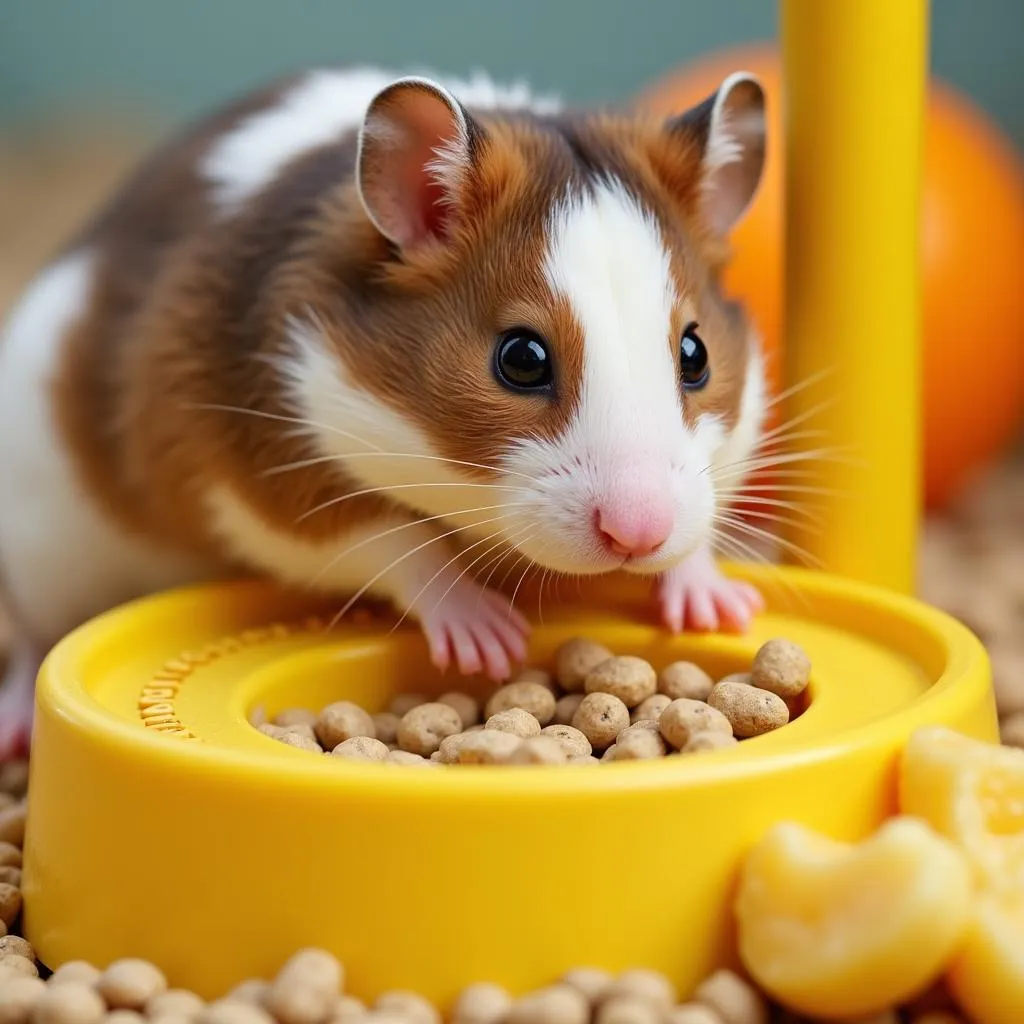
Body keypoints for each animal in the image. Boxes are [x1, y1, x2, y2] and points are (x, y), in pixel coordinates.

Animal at [0, 64, 770, 753]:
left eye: (696, 353)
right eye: (521, 358)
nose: (636, 537)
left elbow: (698, 532)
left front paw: (724, 608)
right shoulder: (272, 480)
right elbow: (394, 540)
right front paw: (492, 642)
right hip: (40, 552)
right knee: (33, 640)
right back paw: (16, 731)